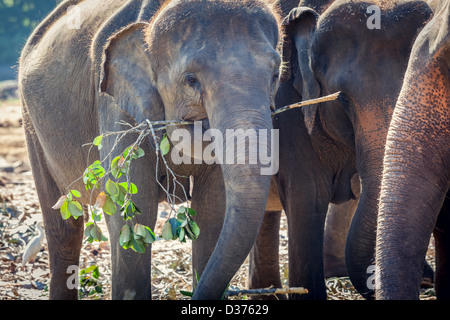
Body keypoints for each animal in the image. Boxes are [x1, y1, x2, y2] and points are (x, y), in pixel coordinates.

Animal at [19, 0, 284, 300]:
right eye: (191, 79)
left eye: (276, 74)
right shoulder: (116, 107)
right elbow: (135, 210)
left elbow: (212, 210)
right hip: (31, 124)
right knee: (64, 227)